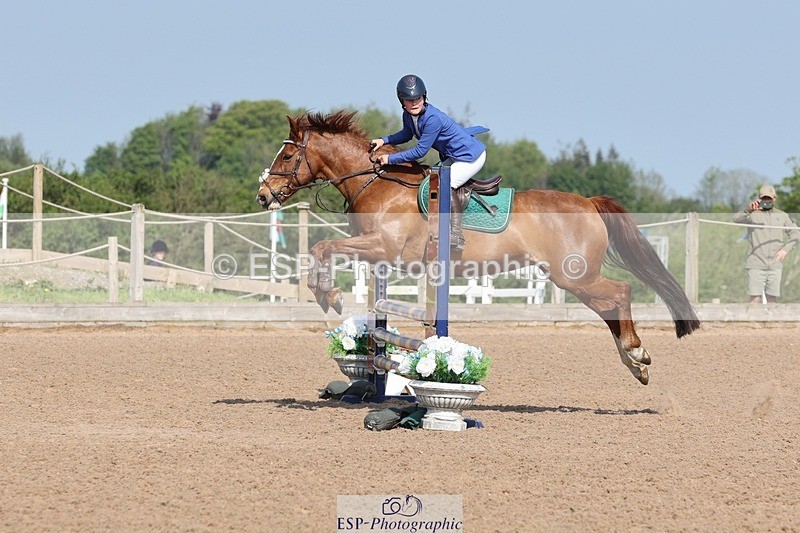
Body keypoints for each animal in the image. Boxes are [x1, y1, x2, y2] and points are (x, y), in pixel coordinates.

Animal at [256, 110, 700, 385]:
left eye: (289, 154)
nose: (264, 195)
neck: (378, 183)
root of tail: (589, 202)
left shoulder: (383, 247)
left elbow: (323, 246)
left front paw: (327, 295)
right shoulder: (378, 254)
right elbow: (324, 250)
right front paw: (326, 293)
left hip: (574, 274)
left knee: (620, 293)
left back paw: (637, 354)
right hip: (573, 277)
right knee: (609, 305)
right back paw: (635, 363)